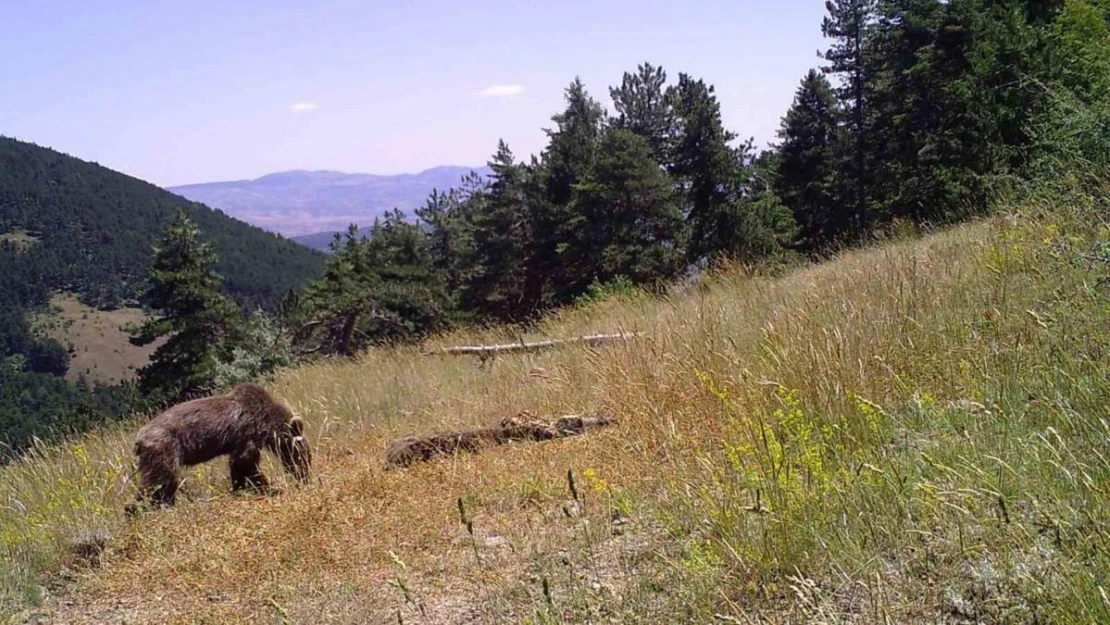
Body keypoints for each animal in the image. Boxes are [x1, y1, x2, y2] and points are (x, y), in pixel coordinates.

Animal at [129, 381, 313, 512]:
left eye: (307, 457)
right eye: (303, 455)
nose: (304, 477)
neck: (267, 422)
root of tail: (139, 439)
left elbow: (241, 466)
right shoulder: (247, 434)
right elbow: (244, 463)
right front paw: (264, 487)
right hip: (165, 448)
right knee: (160, 480)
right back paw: (144, 507)